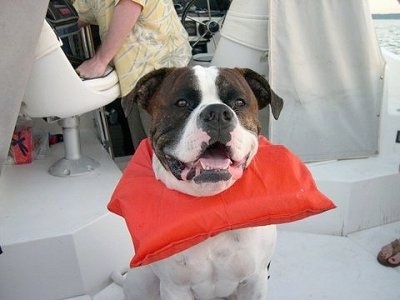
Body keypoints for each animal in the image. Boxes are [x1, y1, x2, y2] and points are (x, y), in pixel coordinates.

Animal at [121, 66, 282, 300]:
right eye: (181, 103)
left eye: (239, 102)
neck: (210, 210)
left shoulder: (255, 281)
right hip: (141, 282)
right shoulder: (175, 288)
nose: (217, 113)